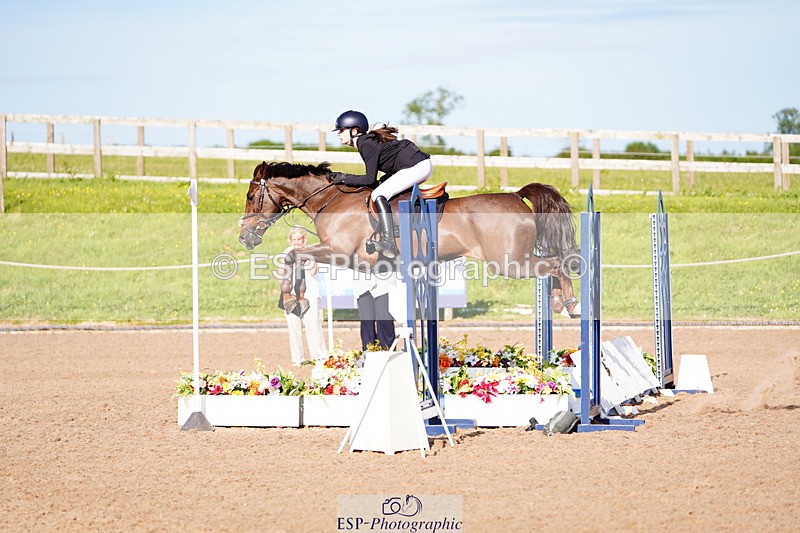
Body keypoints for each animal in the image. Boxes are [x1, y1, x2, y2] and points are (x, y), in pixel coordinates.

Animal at [239, 161, 581, 317]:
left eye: (252, 197)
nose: (244, 238)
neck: (331, 200)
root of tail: (516, 196)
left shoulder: (338, 252)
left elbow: (292, 256)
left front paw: (290, 300)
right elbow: (293, 258)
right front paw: (294, 300)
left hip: (509, 263)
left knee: (555, 265)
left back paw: (569, 302)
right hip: (515, 261)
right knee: (553, 264)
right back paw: (559, 301)